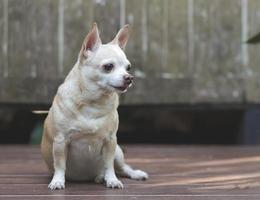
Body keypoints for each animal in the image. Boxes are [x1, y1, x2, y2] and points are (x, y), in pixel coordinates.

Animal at [42, 22, 149, 190]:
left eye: (128, 67)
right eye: (108, 66)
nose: (129, 78)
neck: (93, 102)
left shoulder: (110, 141)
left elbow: (109, 165)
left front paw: (112, 180)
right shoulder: (60, 141)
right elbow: (59, 165)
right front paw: (57, 181)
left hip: (118, 151)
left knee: (123, 168)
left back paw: (132, 174)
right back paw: (100, 177)